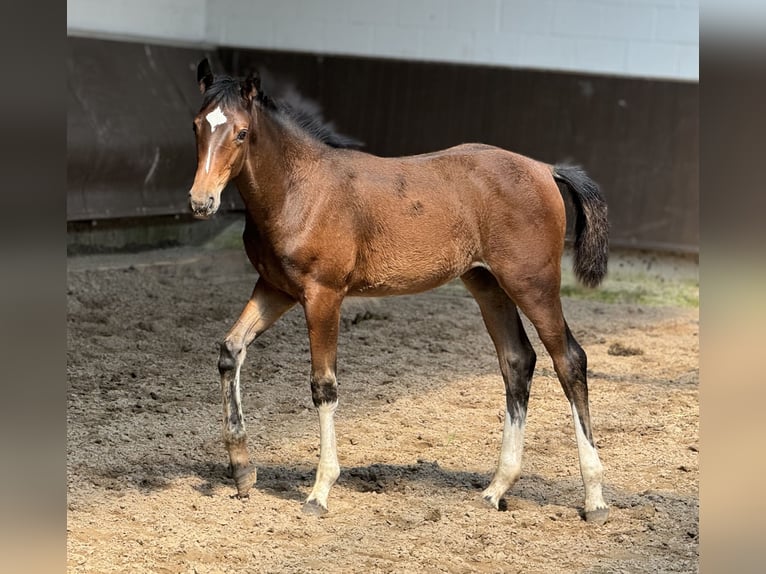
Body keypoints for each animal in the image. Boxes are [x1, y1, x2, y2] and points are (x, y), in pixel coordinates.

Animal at [190, 60, 612, 524]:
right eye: (197, 125)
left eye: (242, 132)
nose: (201, 202)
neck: (299, 190)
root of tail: (545, 168)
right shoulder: (275, 289)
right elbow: (231, 350)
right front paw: (242, 471)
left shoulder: (324, 295)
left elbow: (324, 386)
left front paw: (319, 491)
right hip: (487, 285)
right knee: (518, 360)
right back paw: (496, 488)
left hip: (532, 284)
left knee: (569, 360)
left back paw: (594, 499)